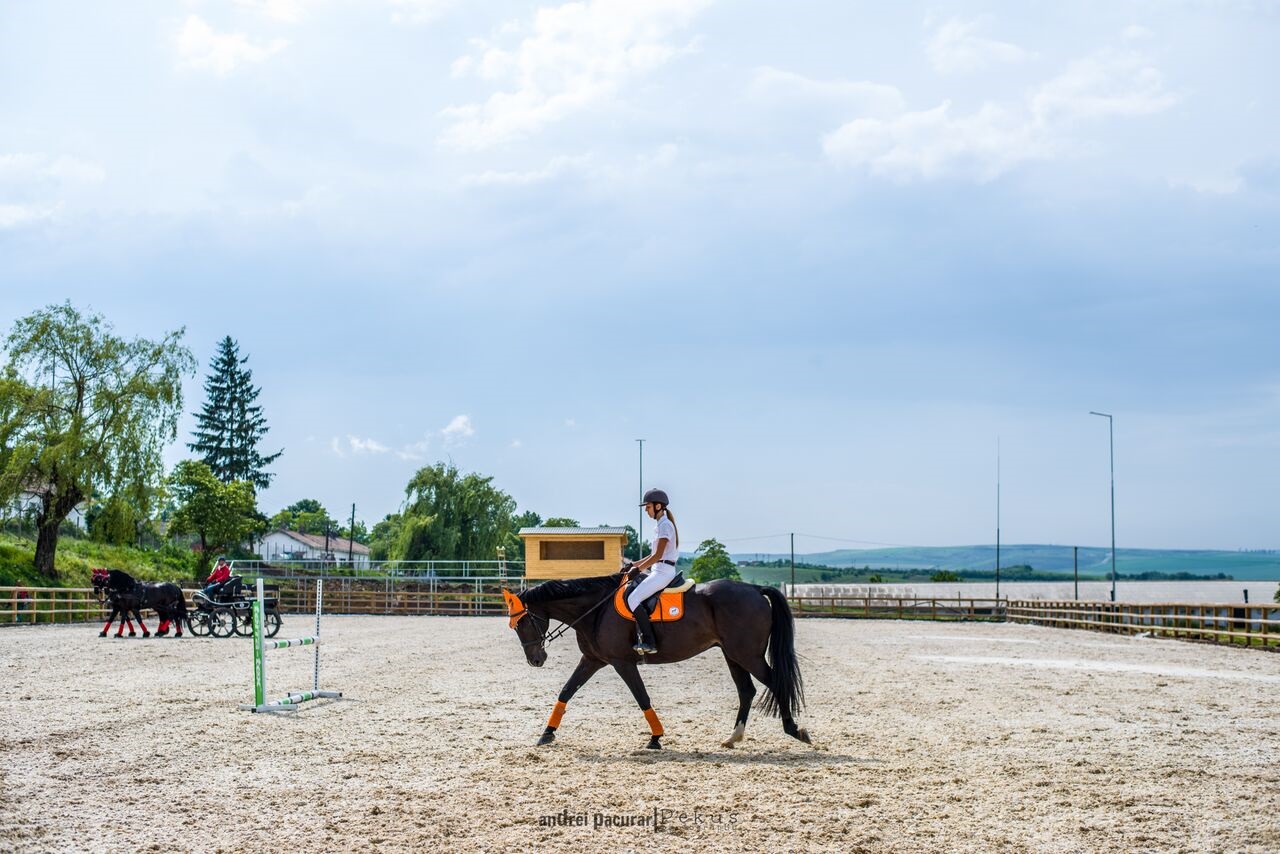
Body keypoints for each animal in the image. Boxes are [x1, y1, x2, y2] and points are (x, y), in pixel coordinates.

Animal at [502, 571, 810, 750]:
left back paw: (794, 730)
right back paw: (732, 737)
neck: (596, 609)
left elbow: (642, 698)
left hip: (747, 655)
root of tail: (755, 589)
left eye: (522, 623)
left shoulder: (622, 662)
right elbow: (566, 691)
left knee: (775, 683)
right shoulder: (592, 659)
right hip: (733, 655)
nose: (536, 659)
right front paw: (547, 733)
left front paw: (656, 737)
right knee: (746, 691)